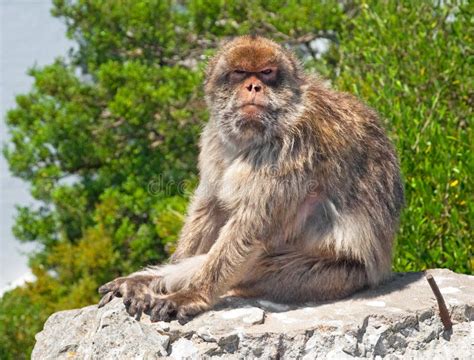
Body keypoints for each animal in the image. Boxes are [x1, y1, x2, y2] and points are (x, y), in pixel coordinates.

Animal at [98, 35, 402, 324]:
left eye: (267, 73)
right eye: (240, 73)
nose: (254, 87)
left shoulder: (291, 148)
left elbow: (252, 226)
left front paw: (192, 294)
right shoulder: (214, 137)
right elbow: (211, 205)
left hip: (331, 276)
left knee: (262, 266)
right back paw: (144, 283)